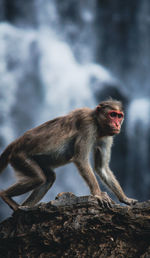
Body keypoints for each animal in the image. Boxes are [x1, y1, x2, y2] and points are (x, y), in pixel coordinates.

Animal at [0, 100, 137, 211]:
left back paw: (24, 207)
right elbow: (81, 159)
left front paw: (125, 198)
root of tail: (16, 143)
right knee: (38, 178)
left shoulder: (106, 136)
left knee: (49, 178)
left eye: (119, 116)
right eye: (112, 115)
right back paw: (5, 195)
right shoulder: (87, 125)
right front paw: (98, 194)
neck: (97, 122)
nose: (117, 124)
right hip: (19, 157)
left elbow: (102, 168)